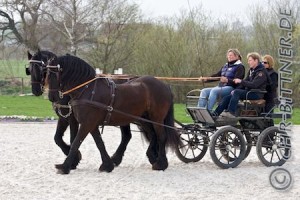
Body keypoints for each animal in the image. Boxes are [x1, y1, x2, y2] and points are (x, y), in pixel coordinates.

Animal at [45, 54, 179, 173]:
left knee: (161, 137)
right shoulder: (90, 124)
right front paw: (107, 165)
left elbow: (76, 142)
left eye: (51, 74)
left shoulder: (86, 123)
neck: (87, 89)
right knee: (152, 135)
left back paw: (161, 164)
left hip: (157, 118)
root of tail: (165, 85)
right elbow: (99, 143)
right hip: (144, 119)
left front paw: (65, 166)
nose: (52, 97)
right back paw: (151, 156)